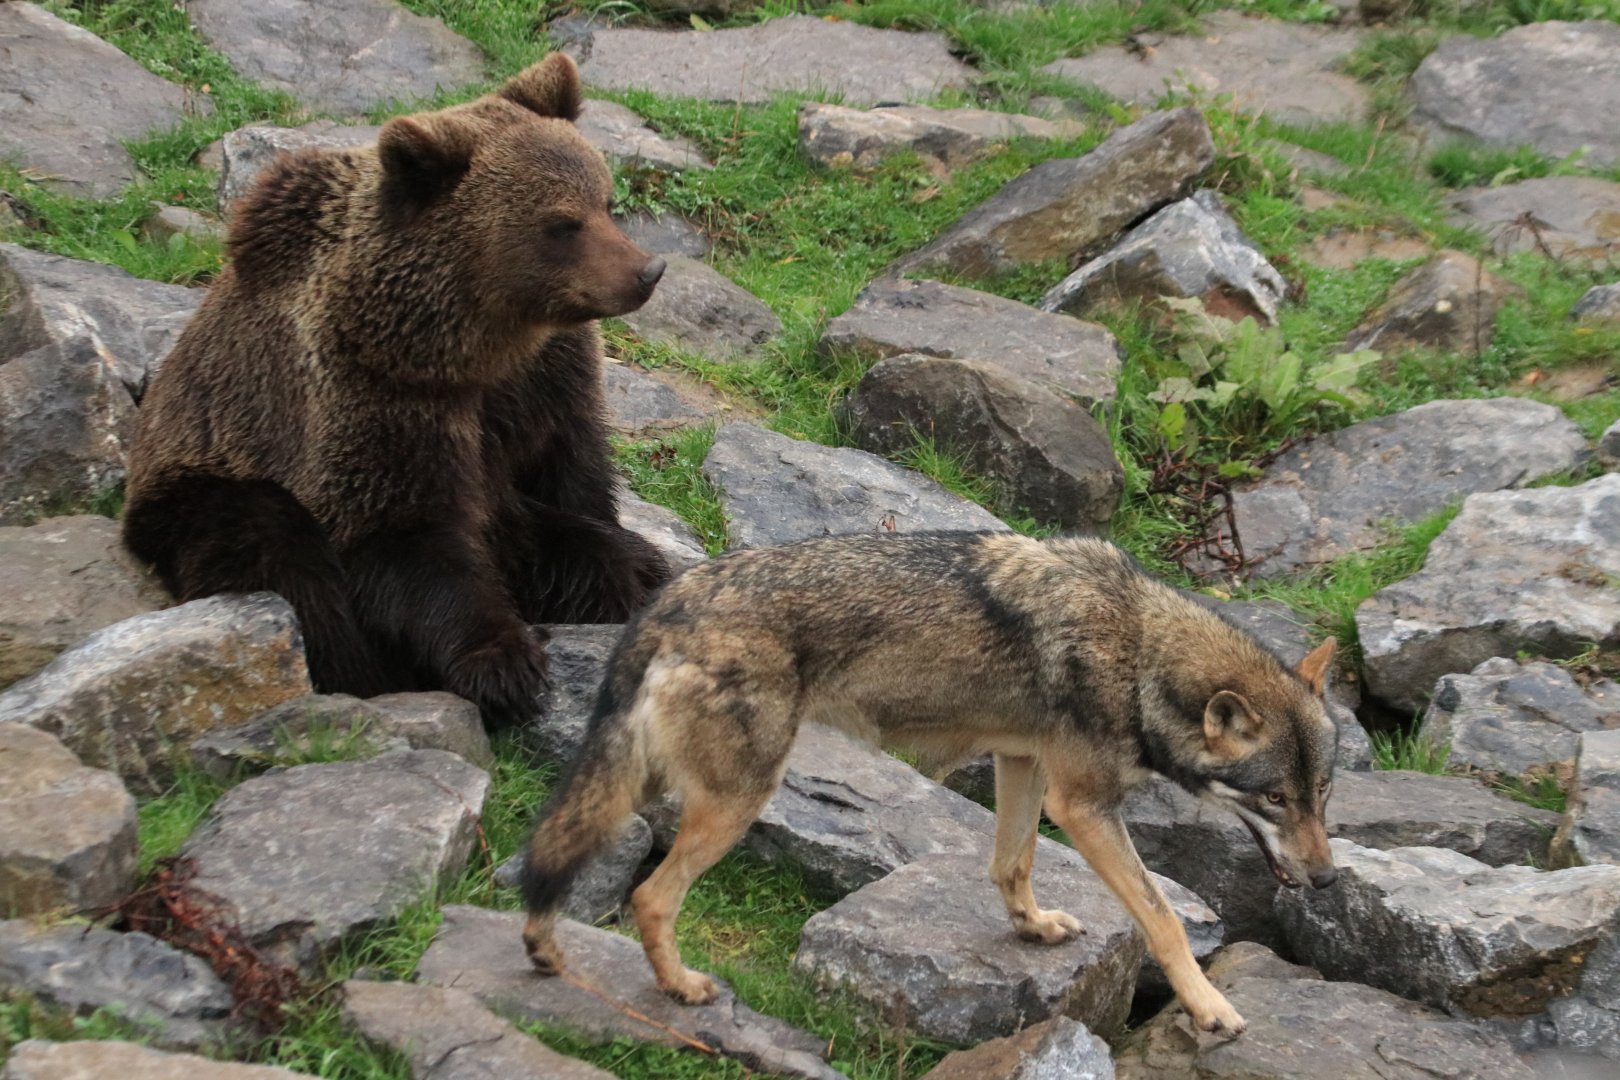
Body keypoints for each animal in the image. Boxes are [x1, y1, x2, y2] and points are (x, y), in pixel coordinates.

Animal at [122, 53, 672, 727]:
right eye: (561, 223)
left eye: (605, 201)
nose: (645, 272)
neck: (467, 345)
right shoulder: (374, 397)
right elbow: (402, 536)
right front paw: (504, 665)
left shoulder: (543, 380)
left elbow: (574, 478)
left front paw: (628, 574)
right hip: (202, 488)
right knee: (282, 558)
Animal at [519, 531, 1341, 1035]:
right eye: (1274, 798)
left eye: (1322, 794)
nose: (1330, 881)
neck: (1140, 653)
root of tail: (668, 603)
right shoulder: (1084, 805)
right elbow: (1164, 920)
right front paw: (1209, 1007)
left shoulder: (1024, 763)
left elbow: (1011, 864)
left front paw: (1032, 929)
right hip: (733, 802)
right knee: (650, 897)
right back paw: (680, 988)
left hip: (646, 785)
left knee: (564, 854)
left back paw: (547, 954)